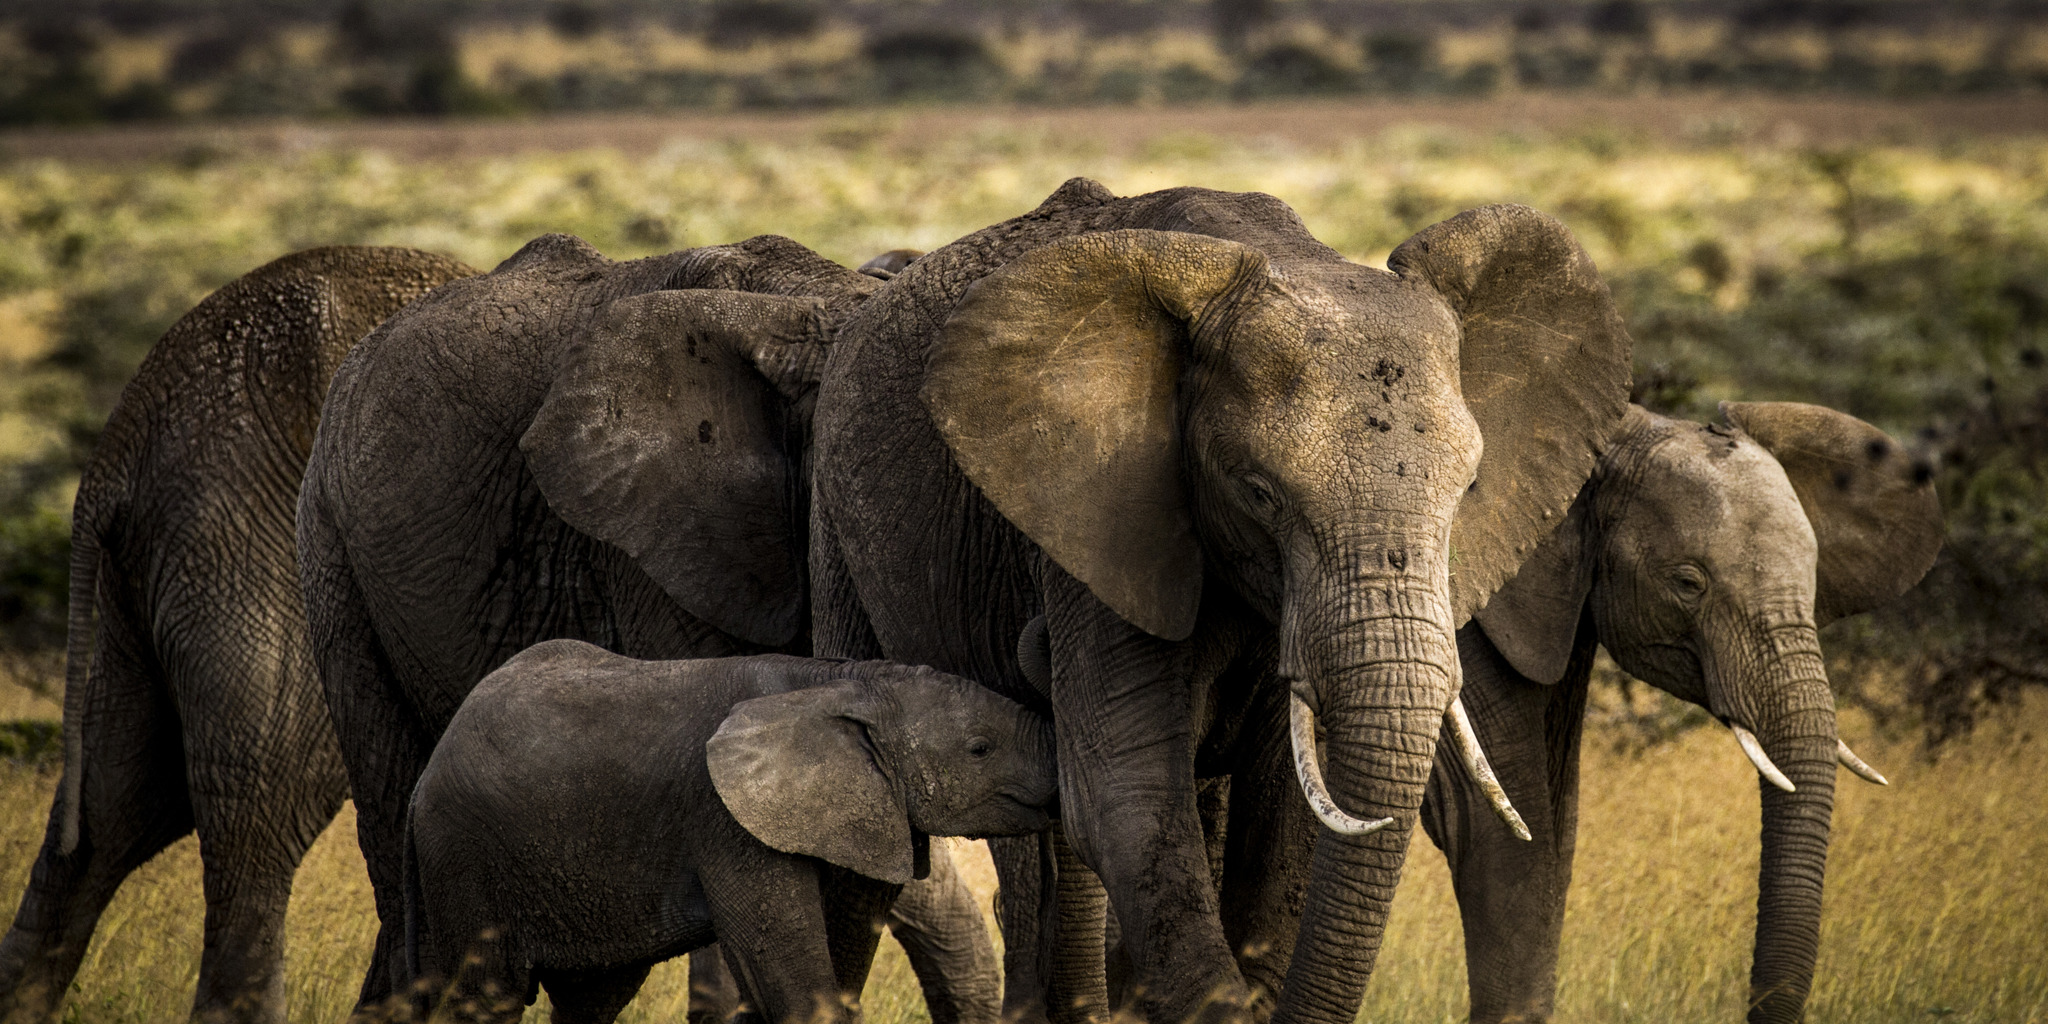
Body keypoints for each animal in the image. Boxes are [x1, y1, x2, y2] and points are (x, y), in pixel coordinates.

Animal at [402, 640, 1055, 1024]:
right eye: (980, 748)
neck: (843, 680)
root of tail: (423, 776)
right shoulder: (725, 820)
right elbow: (788, 976)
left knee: (594, 996)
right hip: (461, 852)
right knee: (488, 995)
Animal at [807, 177, 1635, 1024]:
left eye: (1470, 488)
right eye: (1260, 492)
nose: (1031, 644)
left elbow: (1284, 806)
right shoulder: (1098, 510)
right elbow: (1128, 799)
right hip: (836, 522)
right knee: (859, 854)